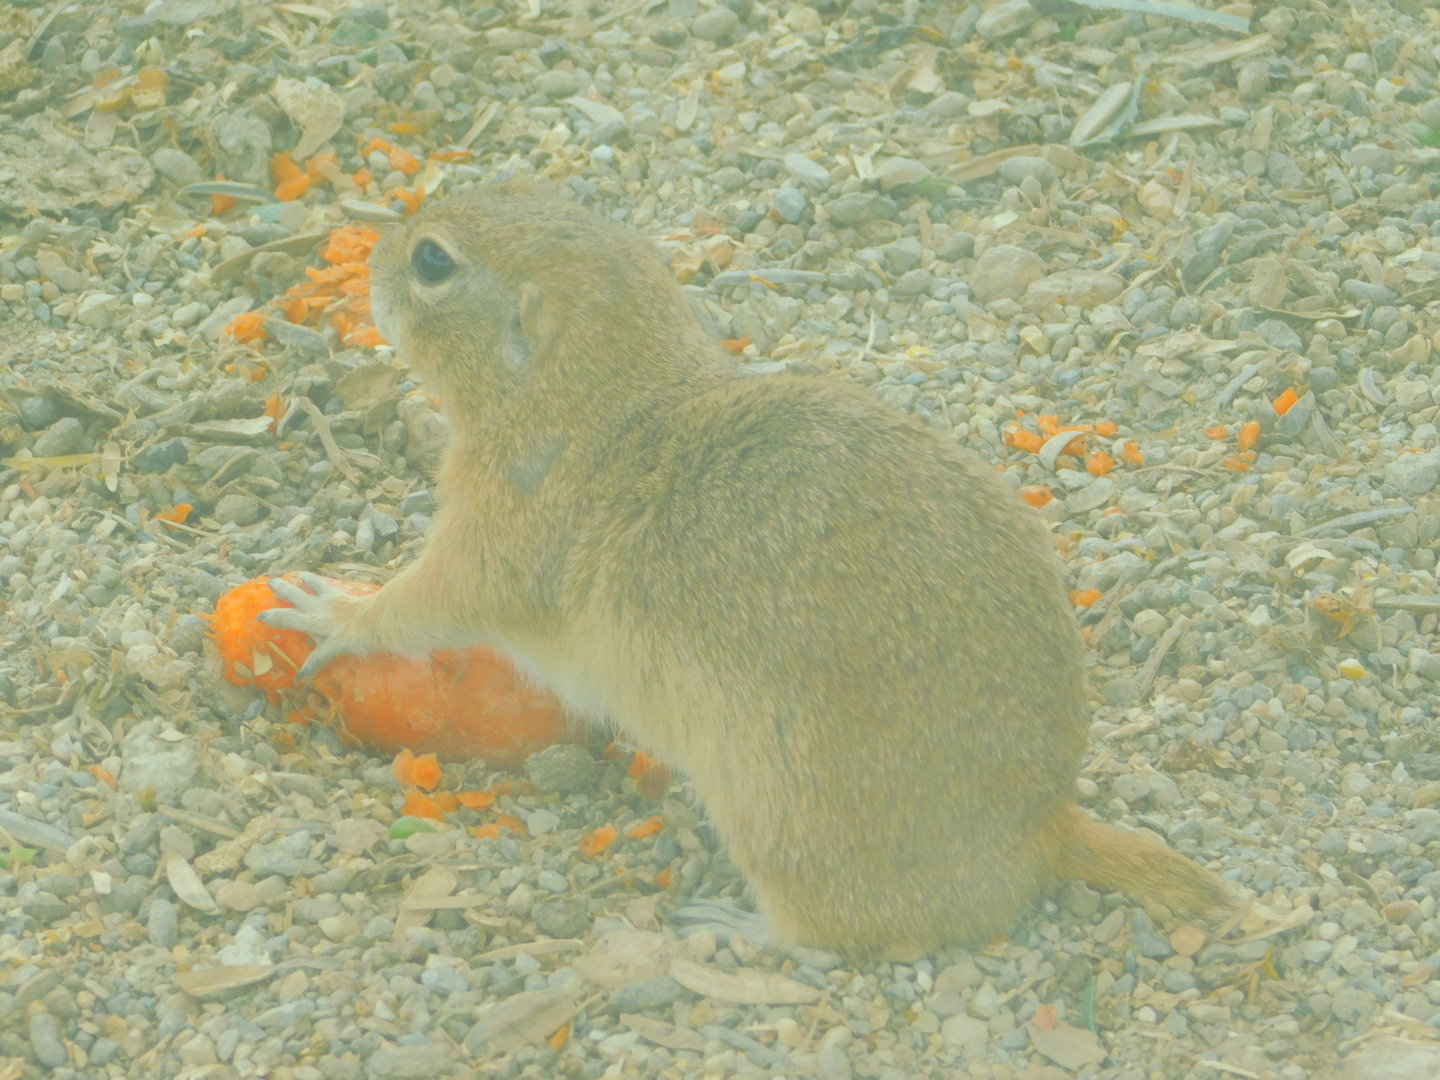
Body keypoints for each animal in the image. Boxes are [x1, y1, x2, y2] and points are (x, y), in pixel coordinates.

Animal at [261, 181, 1237, 959]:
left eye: (432, 261)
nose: (375, 253)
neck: (603, 398)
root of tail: (1046, 827)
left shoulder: (496, 533)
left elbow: (425, 601)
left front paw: (328, 609)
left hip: (779, 829)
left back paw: (736, 929)